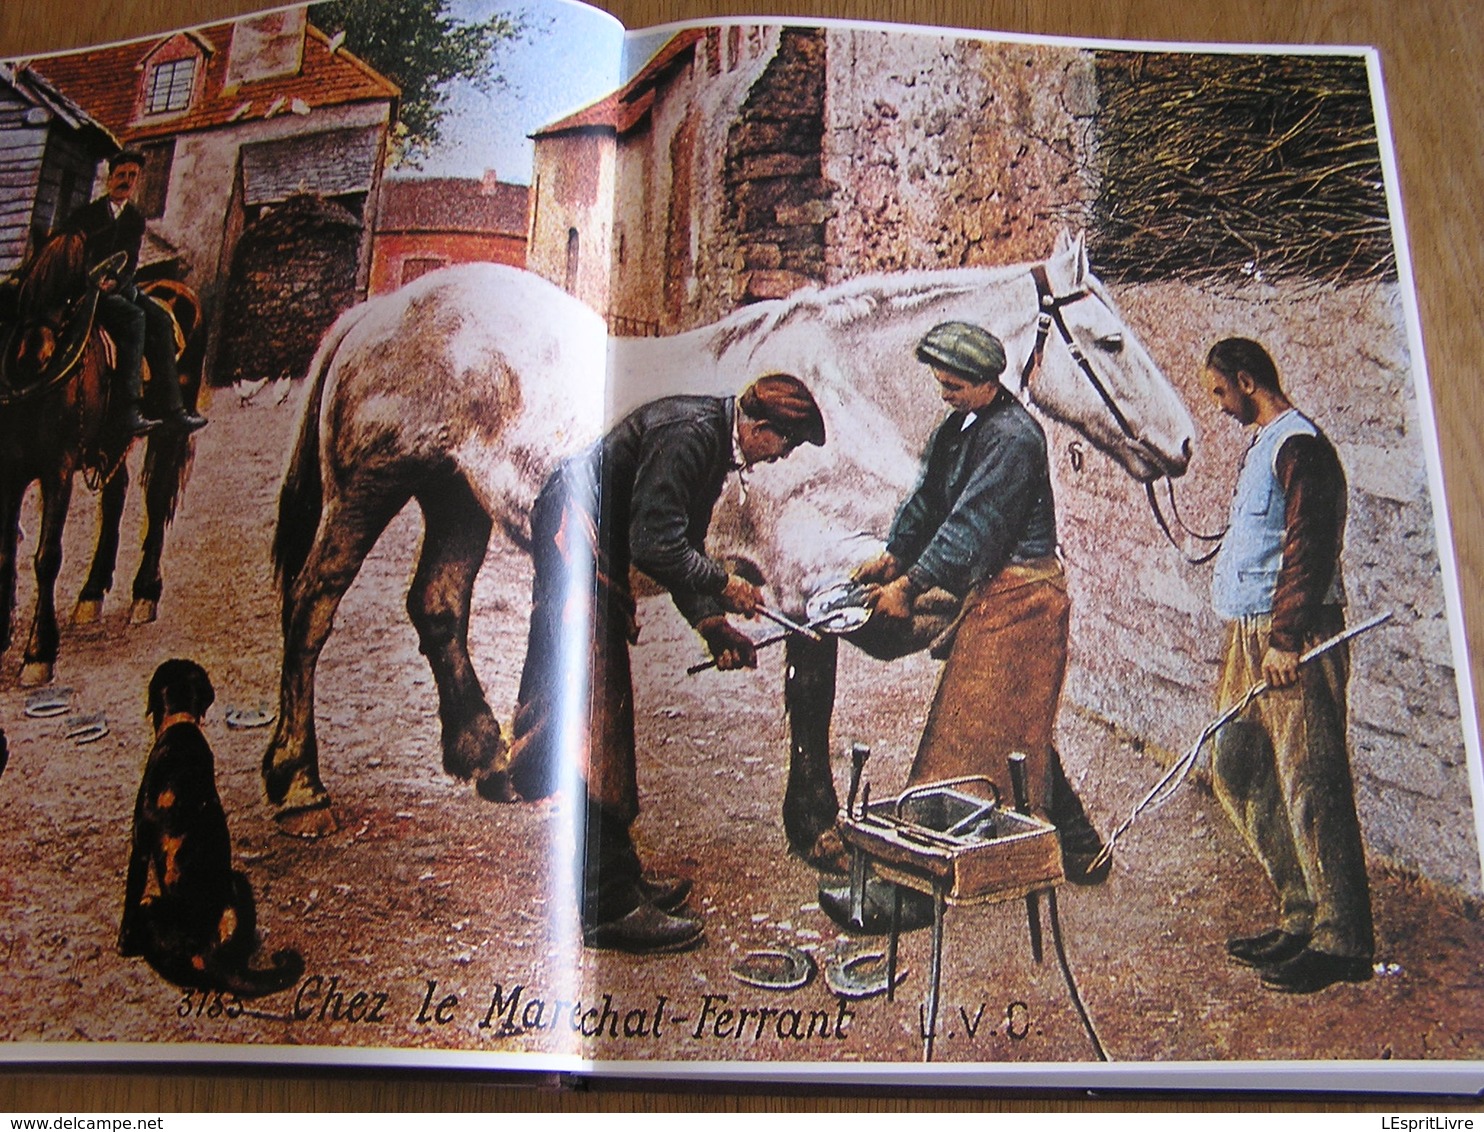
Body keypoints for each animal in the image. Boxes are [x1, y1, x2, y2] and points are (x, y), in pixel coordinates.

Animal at [0, 234, 203, 685]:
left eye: (71, 298)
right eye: (26, 292)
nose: (33, 359)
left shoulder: (57, 470)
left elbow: (46, 557)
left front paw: (38, 653)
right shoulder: (11, 472)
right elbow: (6, 551)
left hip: (168, 433)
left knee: (156, 500)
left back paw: (145, 593)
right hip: (115, 436)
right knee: (116, 495)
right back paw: (91, 594)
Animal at [264, 232, 1193, 842]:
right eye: (1112, 341)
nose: (1185, 444)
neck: (845, 395)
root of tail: (381, 310)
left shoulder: (875, 573)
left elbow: (946, 634)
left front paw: (1069, 831)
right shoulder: (808, 577)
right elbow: (816, 689)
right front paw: (819, 829)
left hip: (455, 500)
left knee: (437, 607)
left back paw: (486, 755)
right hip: (369, 490)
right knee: (312, 605)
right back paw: (297, 778)